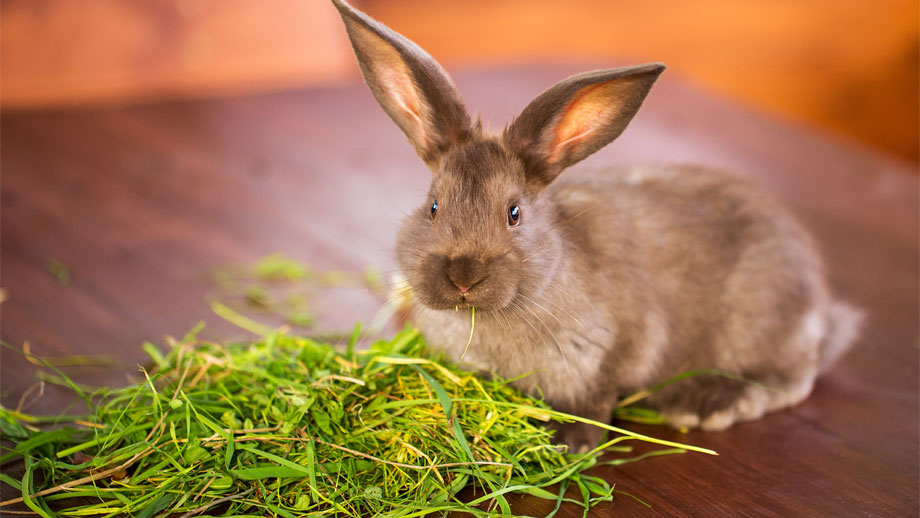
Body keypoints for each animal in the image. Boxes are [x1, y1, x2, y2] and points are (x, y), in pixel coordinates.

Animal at [332, 0, 862, 451]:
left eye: (514, 213)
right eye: (434, 206)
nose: (464, 277)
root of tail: (819, 309)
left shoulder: (610, 354)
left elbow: (593, 402)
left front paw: (568, 442)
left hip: (762, 322)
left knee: (790, 379)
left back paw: (705, 404)